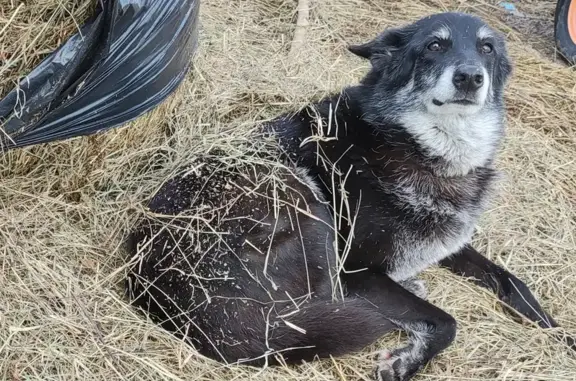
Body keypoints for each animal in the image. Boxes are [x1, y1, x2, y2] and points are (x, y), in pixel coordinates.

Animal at [125, 12, 572, 380]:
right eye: (434, 46)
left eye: (487, 48)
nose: (470, 77)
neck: (425, 148)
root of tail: (176, 296)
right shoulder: (356, 269)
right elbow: (447, 322)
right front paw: (408, 362)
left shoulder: (448, 241)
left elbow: (513, 283)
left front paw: (562, 336)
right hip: (304, 202)